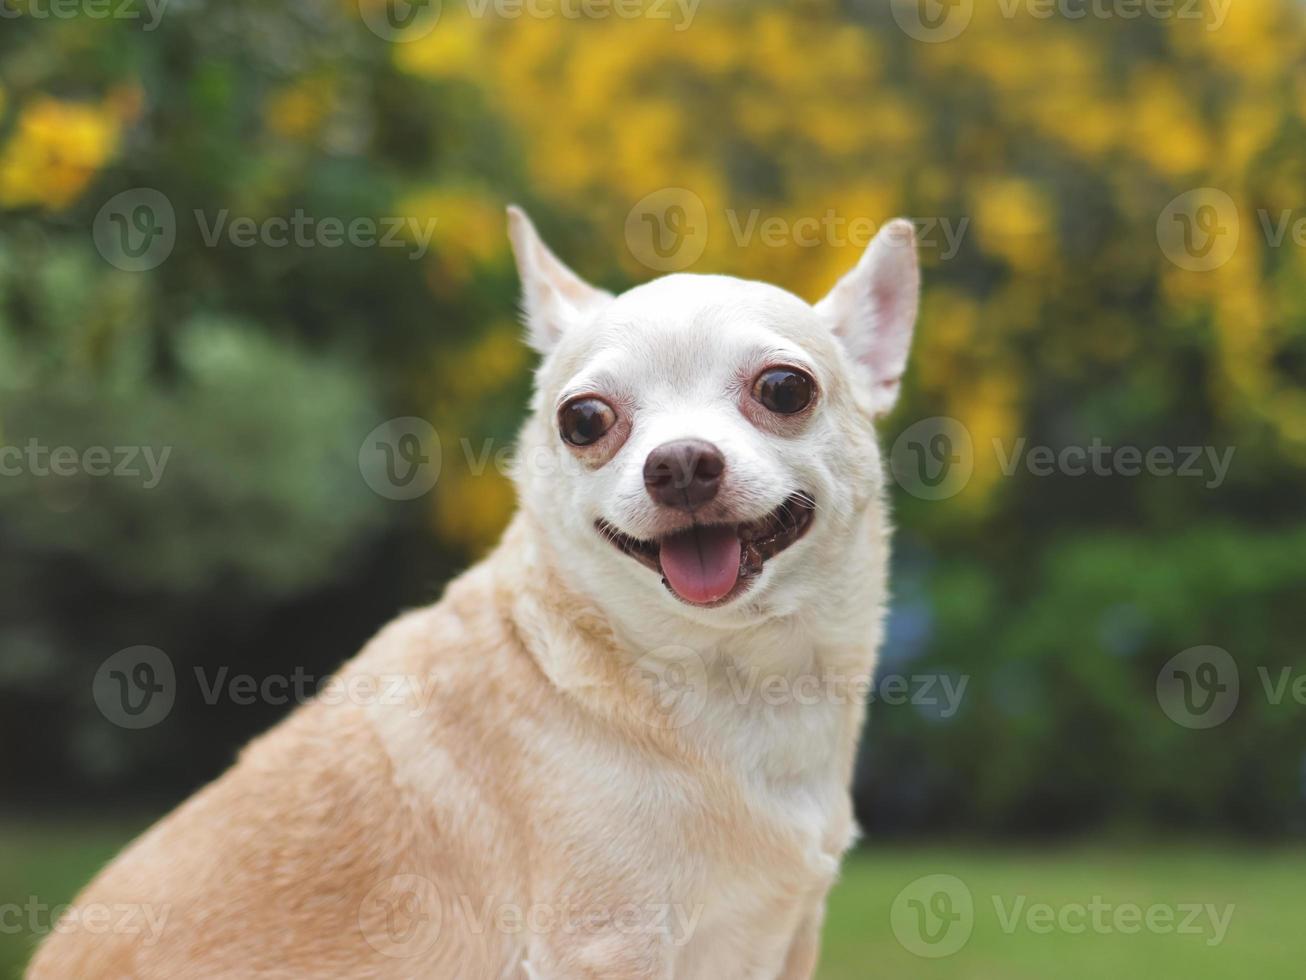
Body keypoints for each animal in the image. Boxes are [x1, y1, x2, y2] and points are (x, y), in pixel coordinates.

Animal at [28, 203, 919, 977]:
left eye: (783, 390)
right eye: (584, 421)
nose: (681, 463)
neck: (729, 678)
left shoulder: (785, 934)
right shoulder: (609, 946)